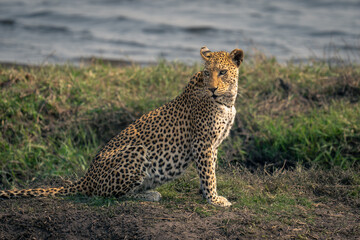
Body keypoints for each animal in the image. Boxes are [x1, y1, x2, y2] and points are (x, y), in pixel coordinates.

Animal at [0, 46, 243, 207]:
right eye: (207, 72)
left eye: (222, 72)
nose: (212, 88)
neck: (228, 101)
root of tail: (87, 177)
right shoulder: (203, 144)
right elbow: (209, 174)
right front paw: (214, 199)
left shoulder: (212, 145)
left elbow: (208, 171)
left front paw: (207, 195)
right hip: (136, 152)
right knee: (108, 195)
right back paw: (150, 195)